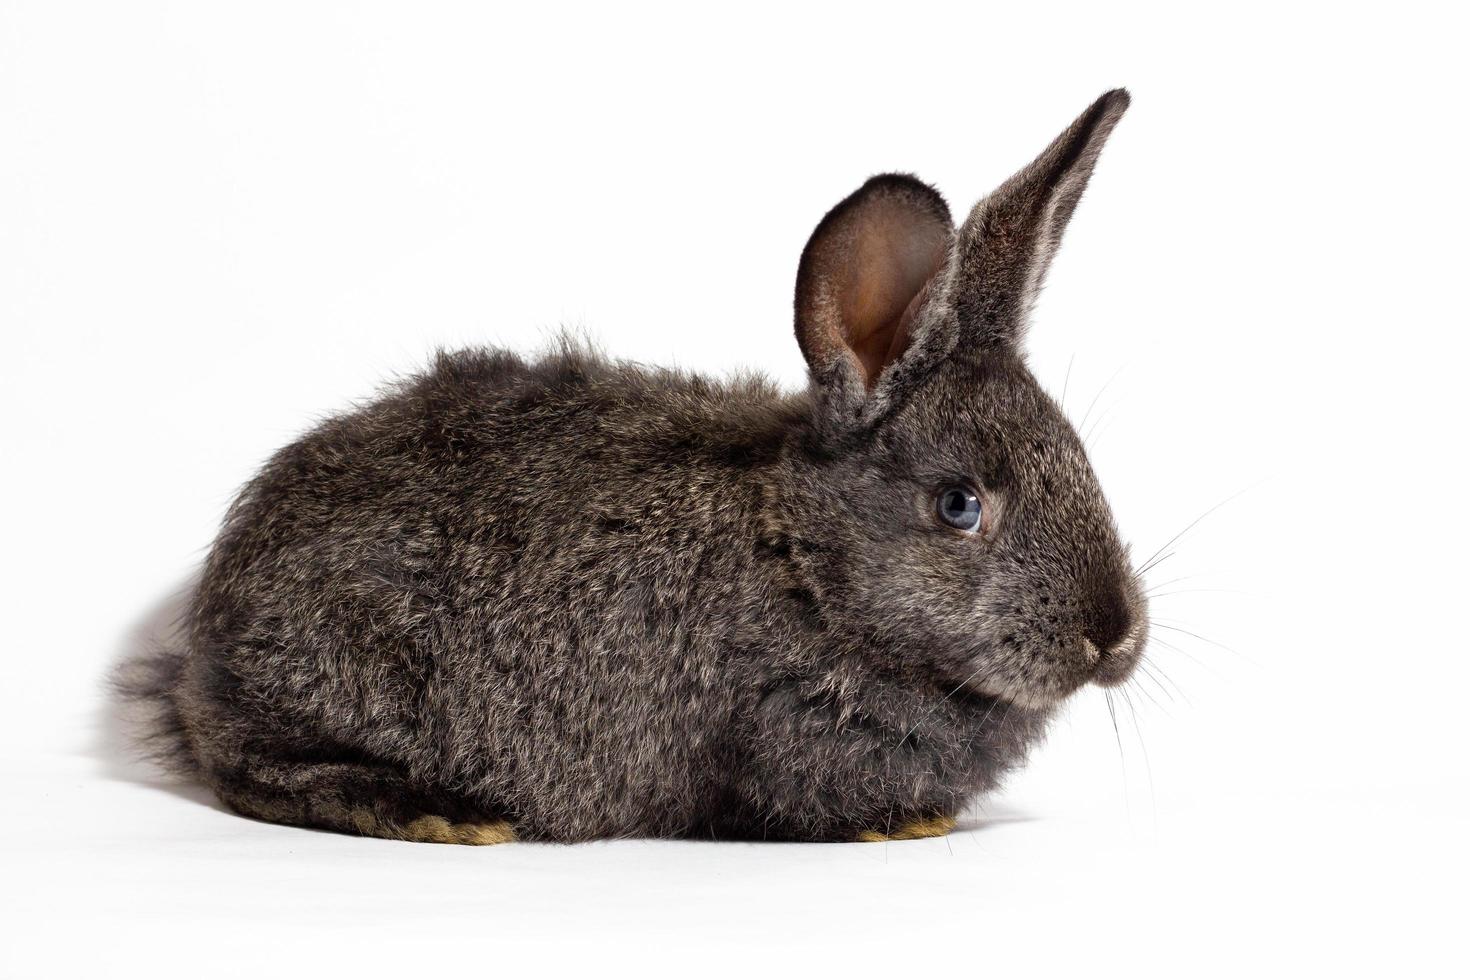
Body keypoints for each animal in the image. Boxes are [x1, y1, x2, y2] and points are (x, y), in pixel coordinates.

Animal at [123, 88, 1146, 846]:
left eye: (1080, 460)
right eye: (959, 504)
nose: (1112, 635)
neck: (806, 564)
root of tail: (202, 642)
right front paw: (905, 825)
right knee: (248, 770)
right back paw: (442, 812)